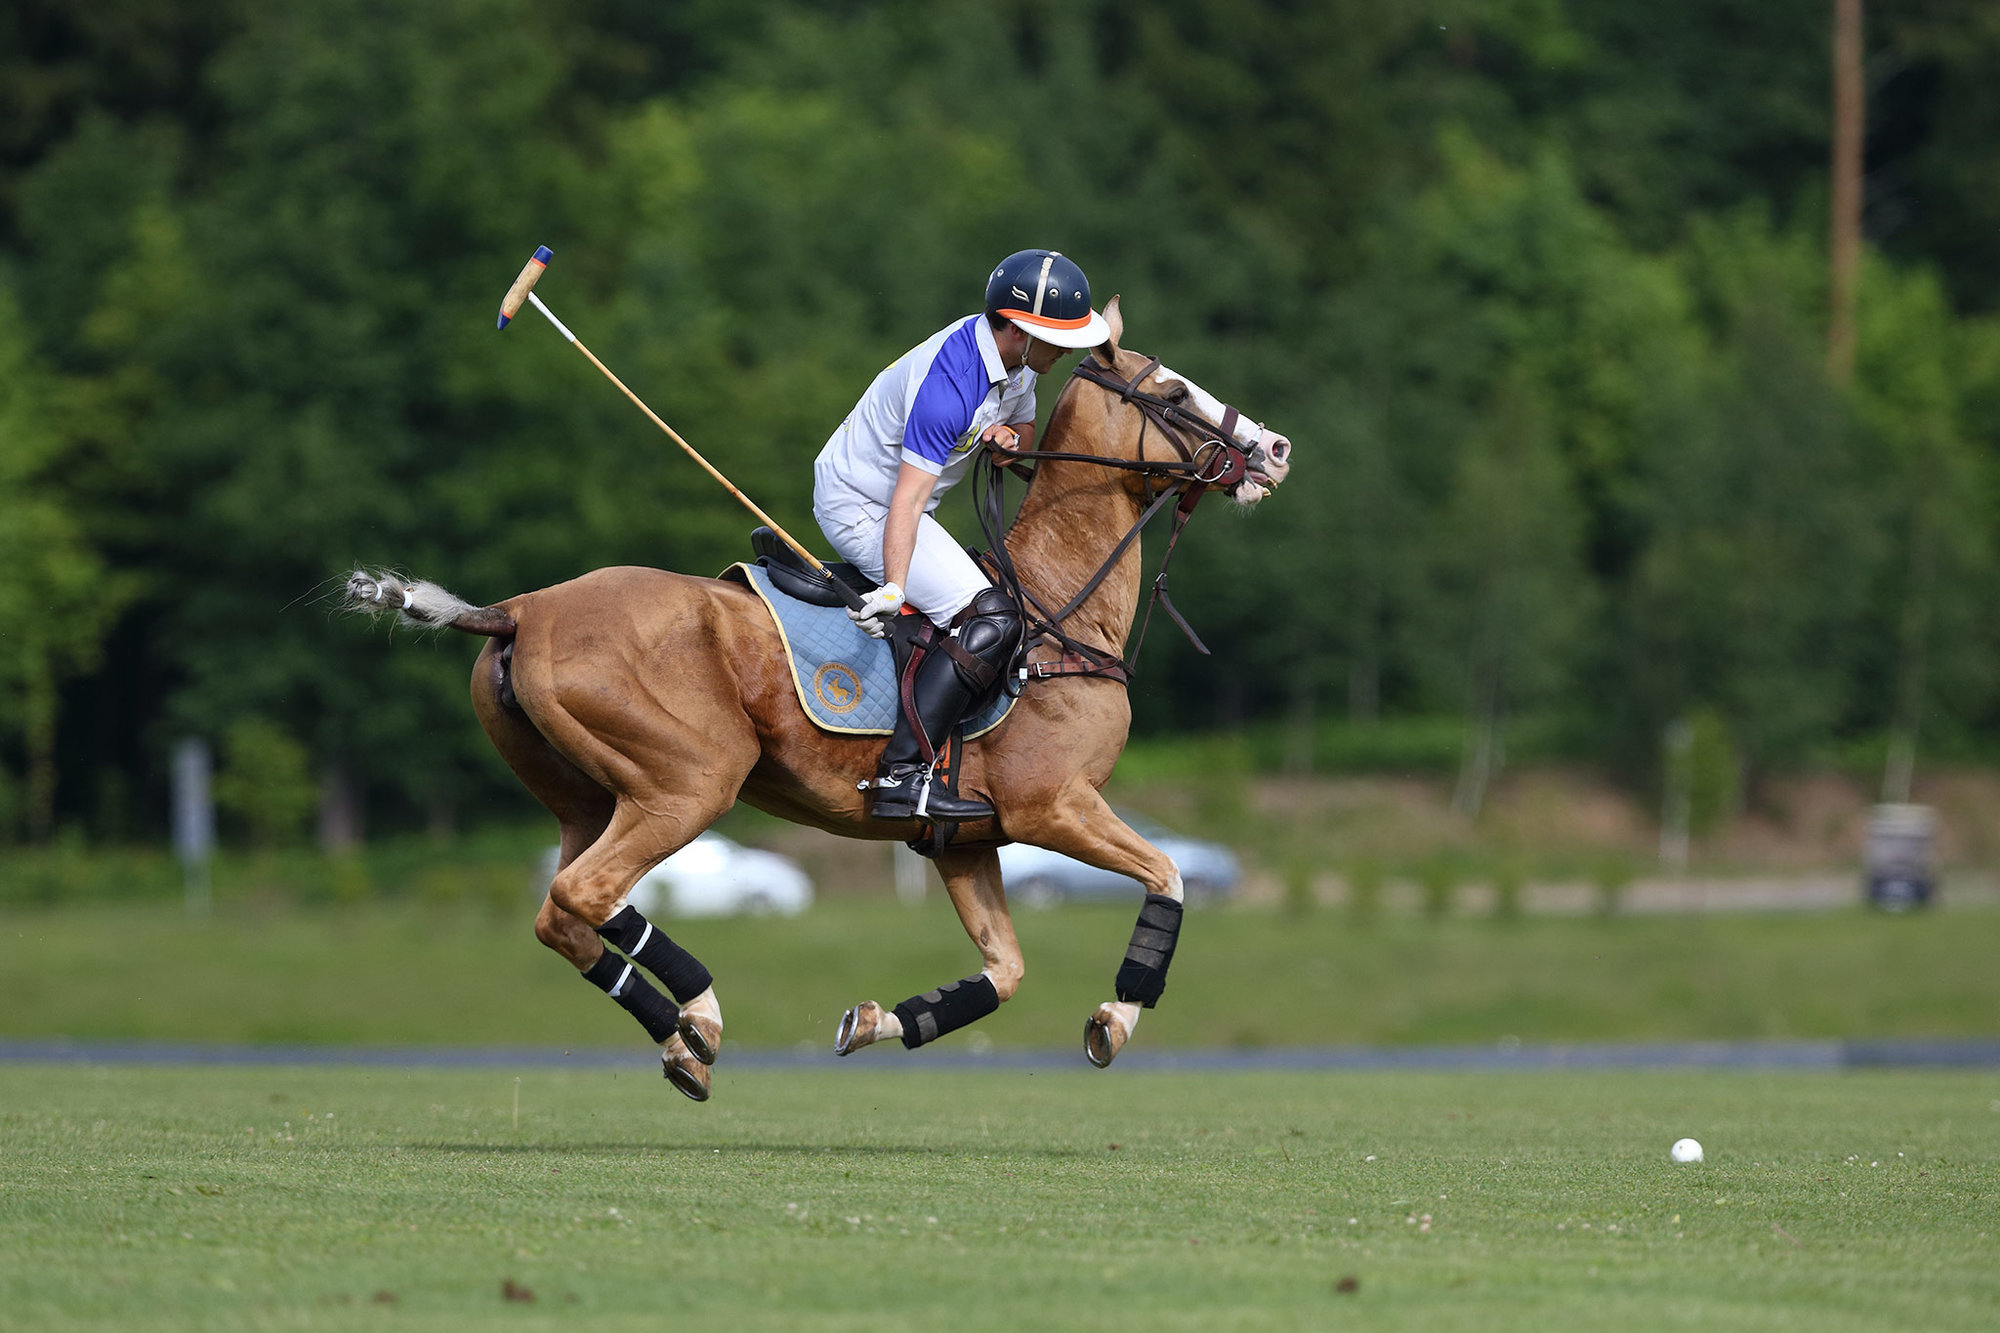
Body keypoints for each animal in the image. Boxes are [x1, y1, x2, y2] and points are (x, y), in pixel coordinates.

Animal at [344, 296, 1296, 1096]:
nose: (1276, 449)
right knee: (585, 894)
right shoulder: (1051, 804)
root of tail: (521, 609)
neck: (1052, 611)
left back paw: (684, 1041)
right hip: (690, 780)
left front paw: (873, 1020)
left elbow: (1004, 971)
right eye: (1174, 391)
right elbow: (1169, 872)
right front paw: (1115, 1018)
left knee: (564, 910)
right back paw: (700, 1011)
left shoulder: (963, 839)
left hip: (587, 796)